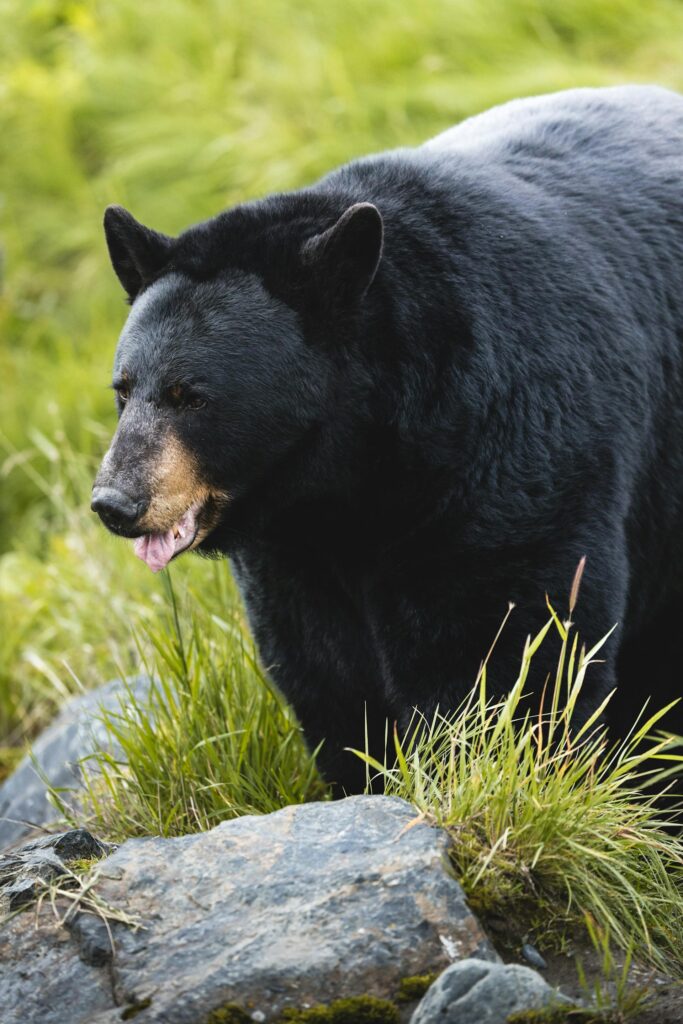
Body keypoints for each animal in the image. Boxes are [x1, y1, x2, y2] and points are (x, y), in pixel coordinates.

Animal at [92, 85, 683, 794]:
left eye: (192, 395)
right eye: (124, 389)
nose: (115, 502)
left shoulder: (509, 457)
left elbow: (510, 645)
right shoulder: (292, 551)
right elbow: (323, 671)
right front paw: (365, 777)